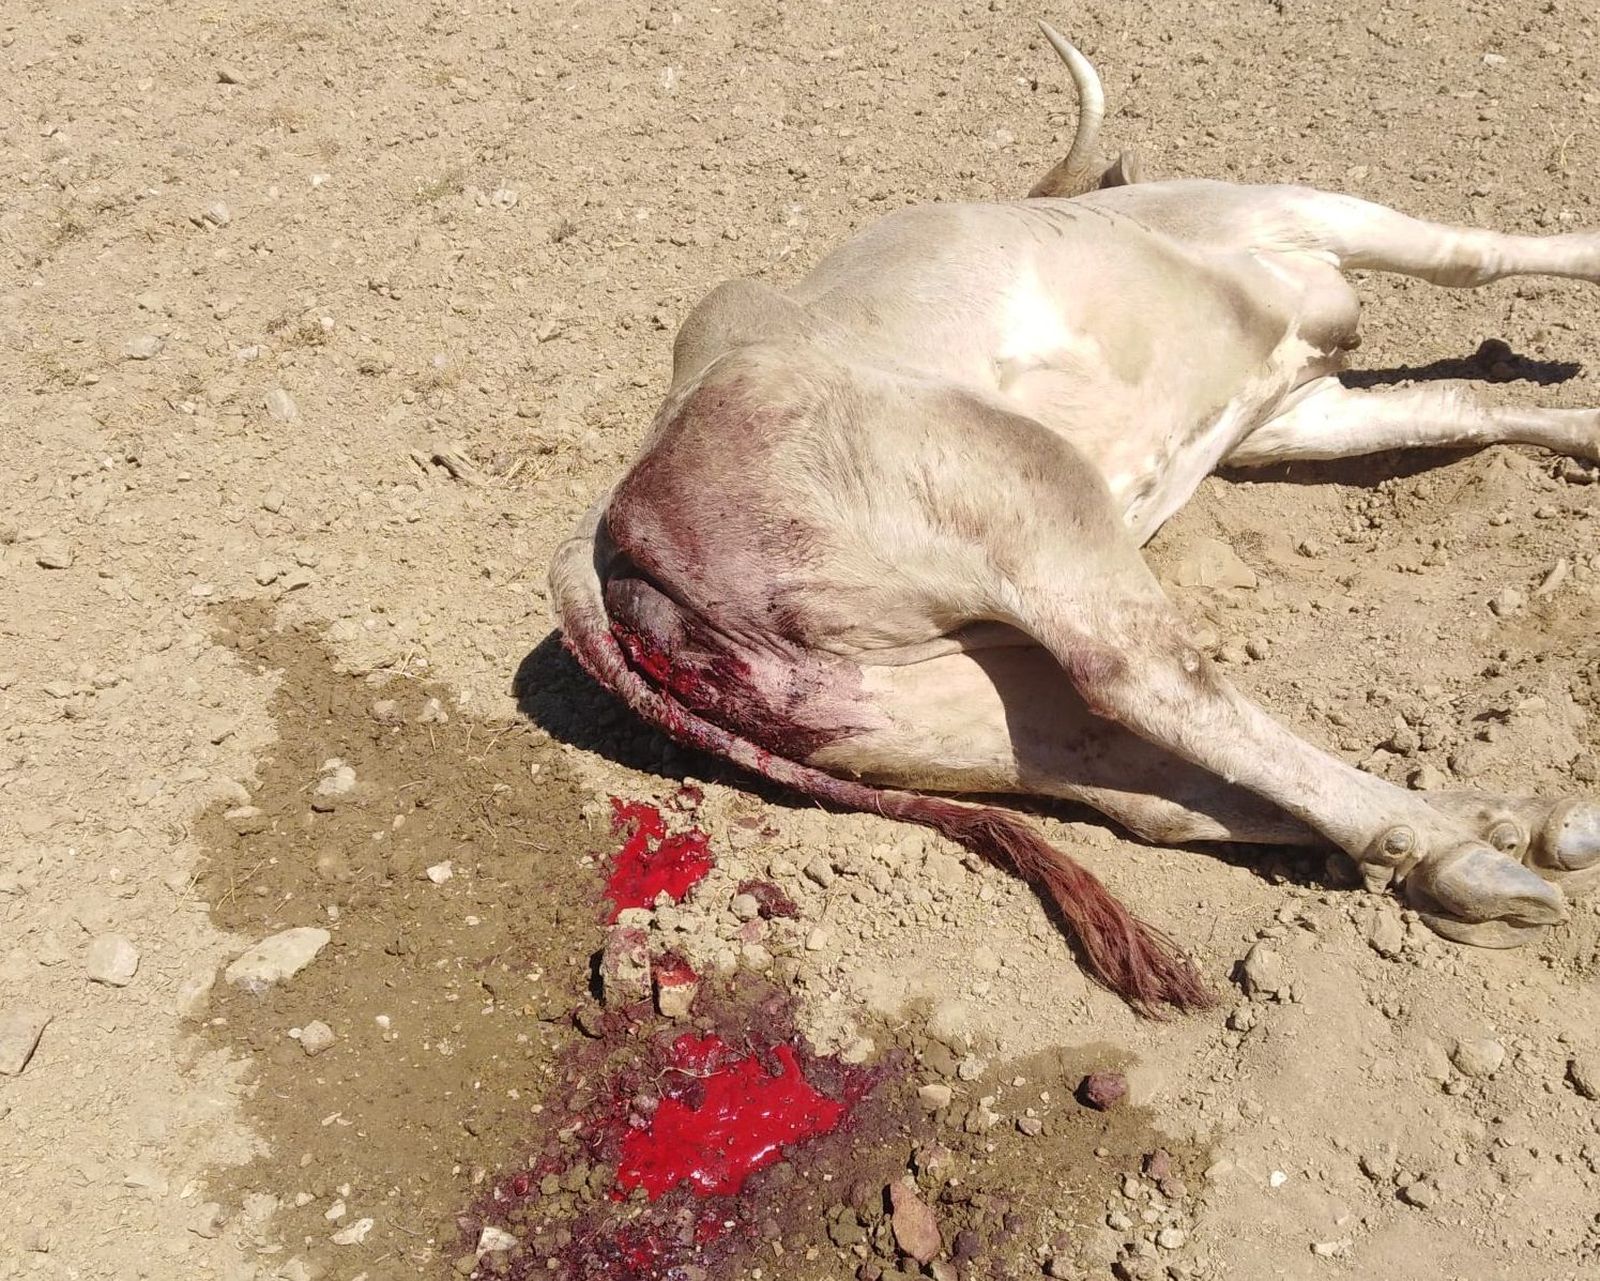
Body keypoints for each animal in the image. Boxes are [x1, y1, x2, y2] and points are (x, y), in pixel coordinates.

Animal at [549, 21, 1600, 1012]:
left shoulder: (1288, 411)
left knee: (1147, 785)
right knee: (1150, 677)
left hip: (916, 703)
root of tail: (604, 526)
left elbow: (1456, 406)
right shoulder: (1292, 207)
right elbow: (1477, 259)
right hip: (1022, 484)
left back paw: (1504, 826)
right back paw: (1452, 847)